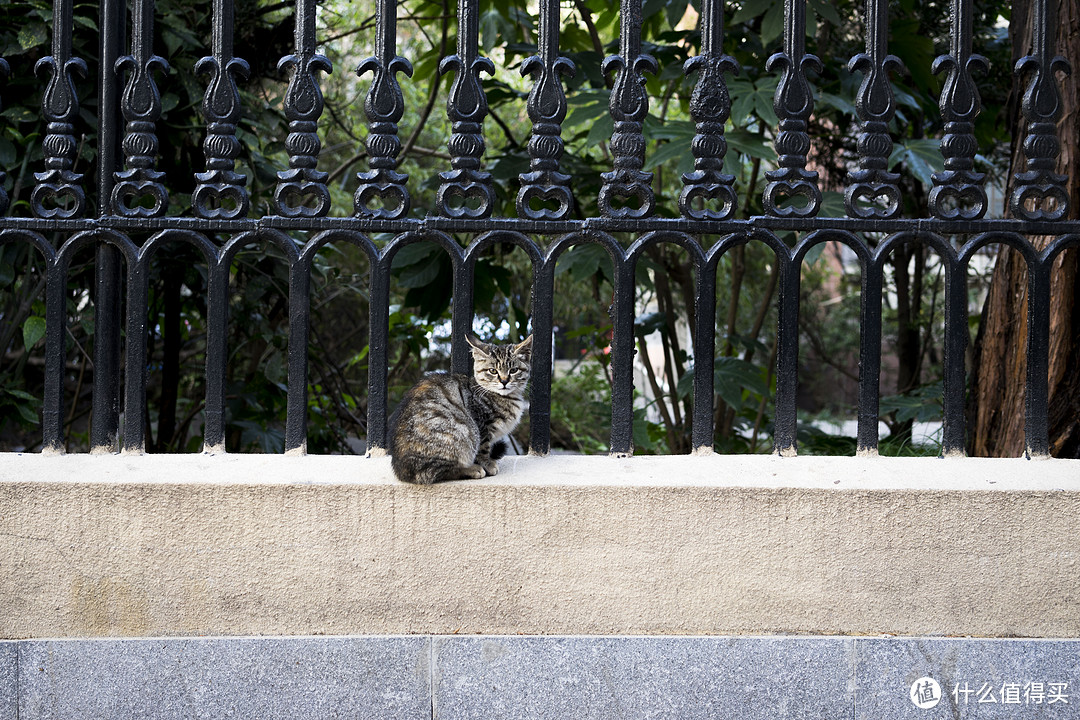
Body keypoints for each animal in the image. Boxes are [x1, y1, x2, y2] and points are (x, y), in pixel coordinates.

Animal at [393, 334, 535, 483]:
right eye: (493, 371)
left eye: (513, 370)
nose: (504, 381)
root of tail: (403, 471)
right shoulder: (481, 424)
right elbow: (483, 447)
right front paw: (487, 464)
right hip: (461, 431)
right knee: (434, 472)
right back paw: (472, 469)